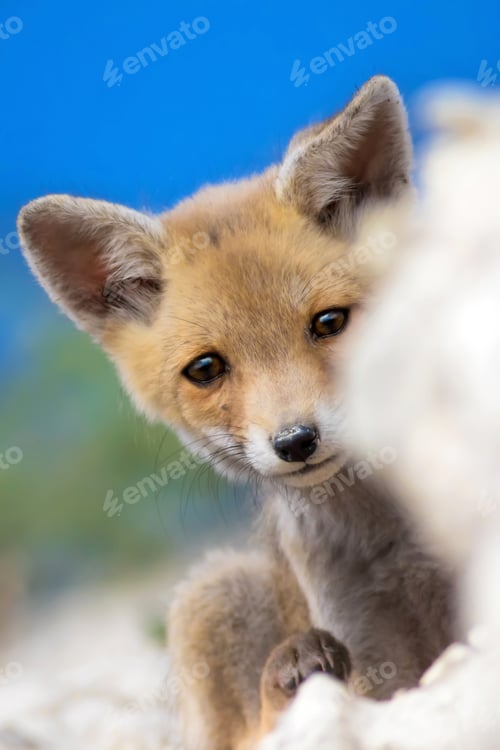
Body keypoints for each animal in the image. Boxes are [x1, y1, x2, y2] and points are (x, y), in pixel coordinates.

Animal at [17, 76, 453, 750]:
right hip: (213, 590)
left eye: (329, 322)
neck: (393, 535)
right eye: (206, 369)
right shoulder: (373, 650)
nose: (296, 440)